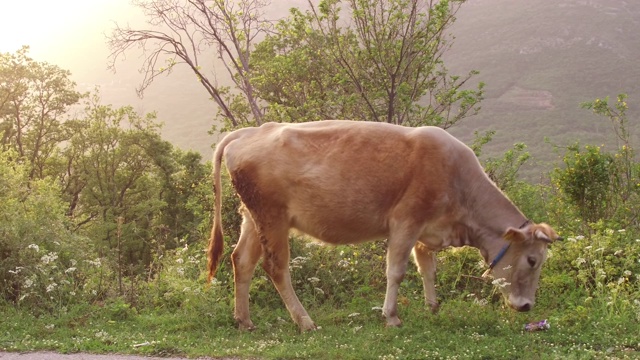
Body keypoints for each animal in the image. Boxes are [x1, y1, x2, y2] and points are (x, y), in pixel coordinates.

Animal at [206, 119, 560, 330]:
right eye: (532, 260)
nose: (527, 306)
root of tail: (250, 131)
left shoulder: (427, 230)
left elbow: (427, 269)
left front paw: (433, 307)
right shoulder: (405, 220)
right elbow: (397, 271)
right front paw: (391, 316)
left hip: (253, 216)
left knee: (242, 260)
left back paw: (244, 320)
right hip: (272, 216)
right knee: (275, 267)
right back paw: (305, 321)